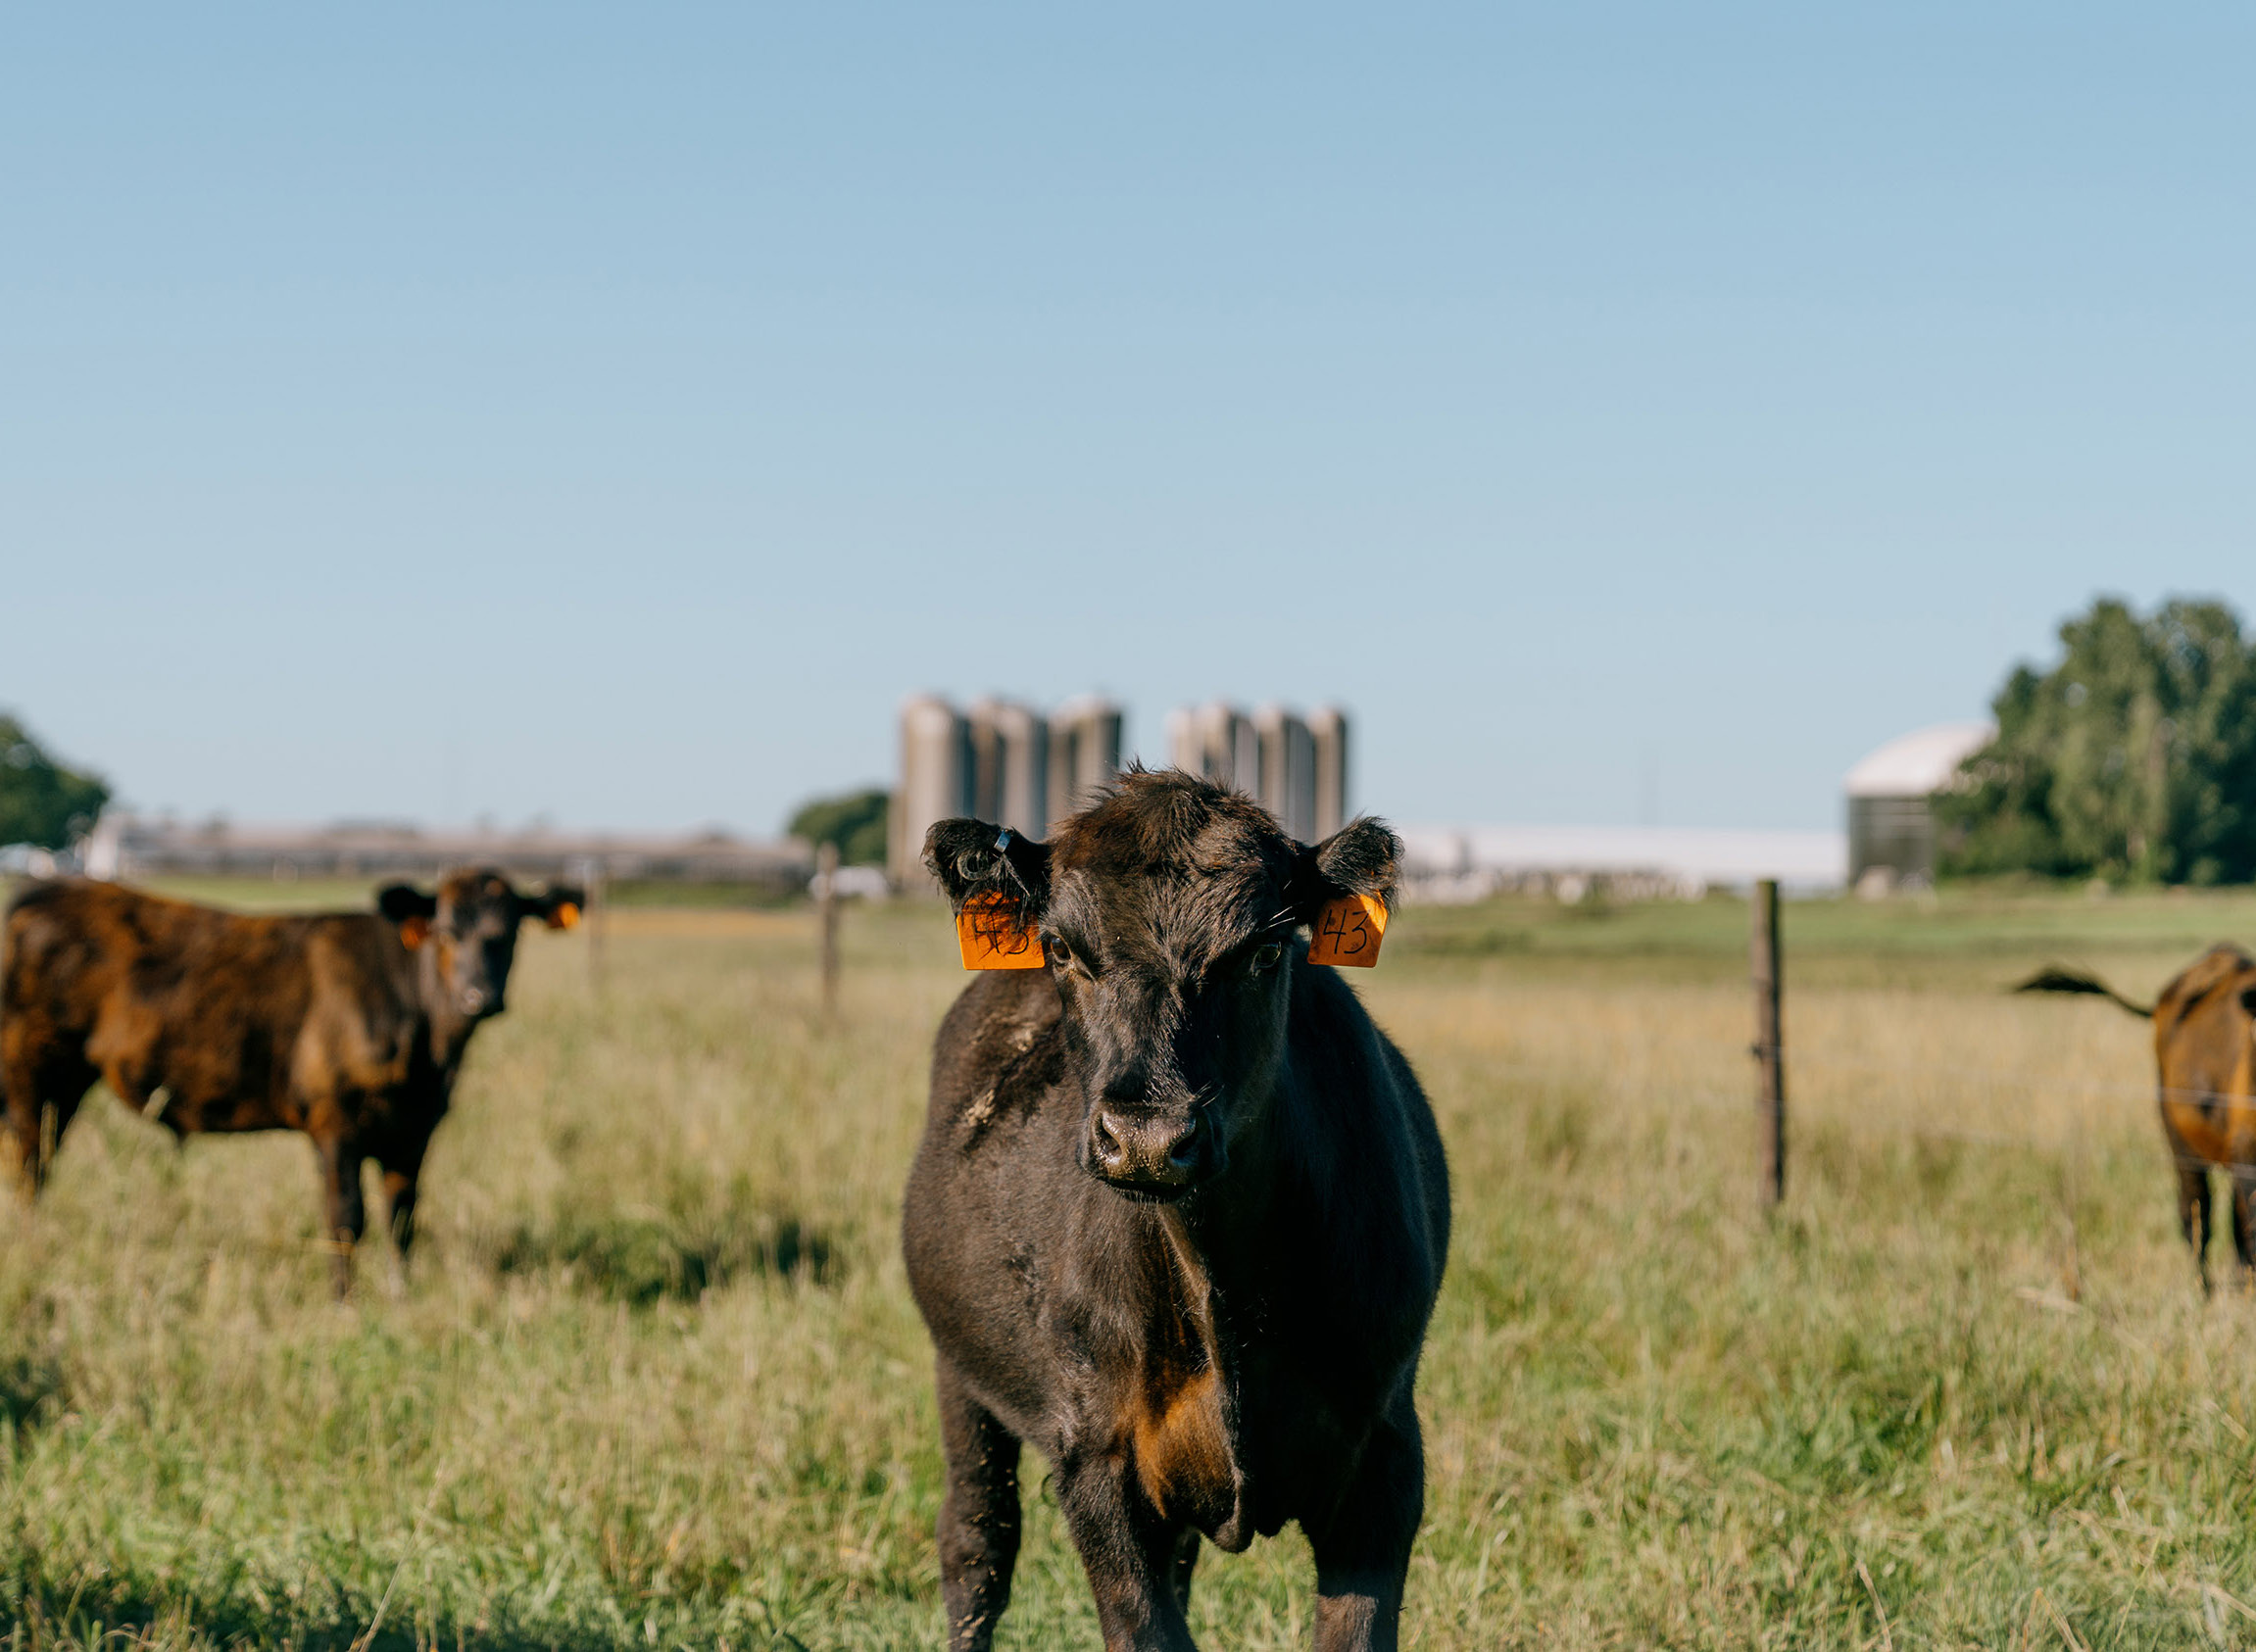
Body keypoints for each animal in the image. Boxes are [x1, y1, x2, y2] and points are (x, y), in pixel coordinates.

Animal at [2, 871, 581, 1299]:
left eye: (509, 932)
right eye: (444, 932)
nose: (479, 996)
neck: (429, 1050)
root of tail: (41, 894)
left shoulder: (413, 1133)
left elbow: (403, 1220)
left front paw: (402, 1298)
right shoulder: (335, 1123)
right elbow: (346, 1219)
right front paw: (345, 1305)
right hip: (32, 1075)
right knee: (29, 1167)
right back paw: (31, 1249)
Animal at [898, 776, 1444, 1652]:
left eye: (1262, 952)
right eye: (1062, 950)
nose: (1148, 1140)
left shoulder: (1385, 1458)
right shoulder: (1097, 1464)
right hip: (960, 1372)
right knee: (977, 1545)